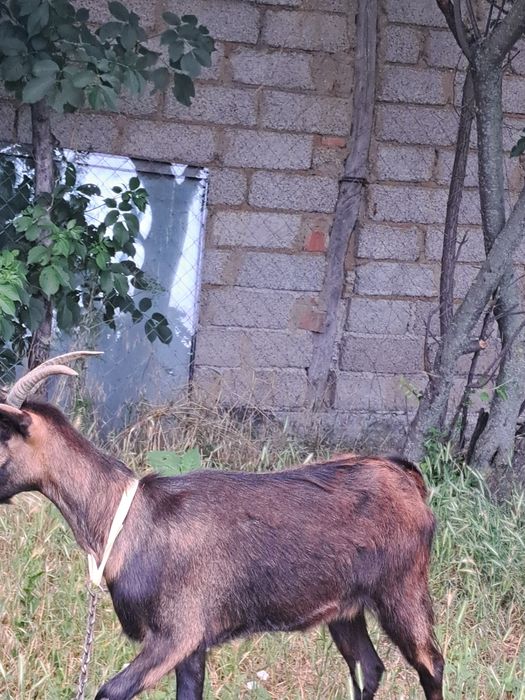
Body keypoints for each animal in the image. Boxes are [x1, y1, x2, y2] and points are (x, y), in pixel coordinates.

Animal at [0, 353, 444, 700]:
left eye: (3, 435)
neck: (128, 519)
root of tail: (407, 478)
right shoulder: (193, 645)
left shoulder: (176, 634)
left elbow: (108, 691)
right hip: (346, 609)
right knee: (369, 668)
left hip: (401, 591)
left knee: (431, 664)